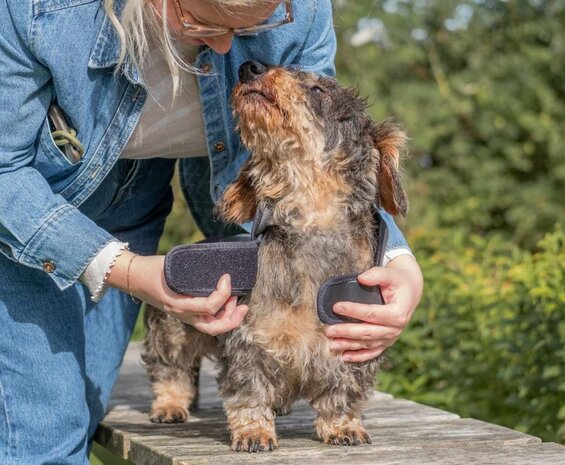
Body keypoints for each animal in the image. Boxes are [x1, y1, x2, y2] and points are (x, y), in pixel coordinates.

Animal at [141, 60, 406, 450]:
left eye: (320, 90)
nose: (250, 67)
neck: (309, 233)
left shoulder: (356, 347)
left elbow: (342, 393)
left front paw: (342, 426)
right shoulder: (246, 344)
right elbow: (249, 393)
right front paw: (253, 431)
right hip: (169, 331)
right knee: (171, 371)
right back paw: (170, 405)